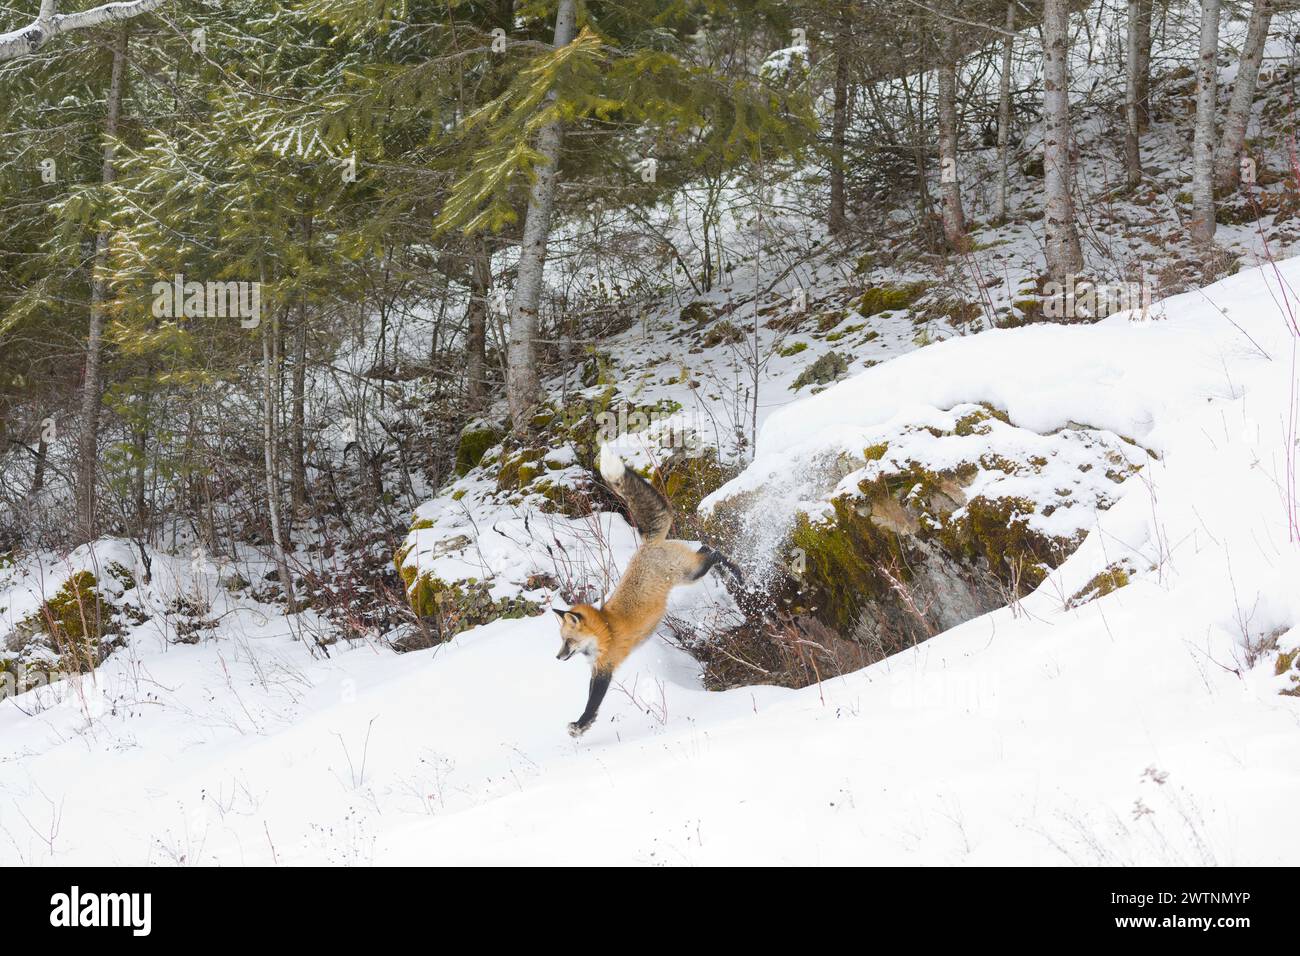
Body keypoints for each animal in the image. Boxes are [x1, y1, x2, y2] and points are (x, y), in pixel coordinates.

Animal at [553, 444, 741, 738]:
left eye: (568, 641)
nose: (558, 657)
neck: (605, 629)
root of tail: (648, 544)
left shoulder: (606, 667)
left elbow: (592, 702)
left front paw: (580, 725)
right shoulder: (598, 669)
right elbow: (592, 703)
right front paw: (585, 725)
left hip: (690, 574)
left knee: (714, 553)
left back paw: (738, 573)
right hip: (690, 569)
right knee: (705, 548)